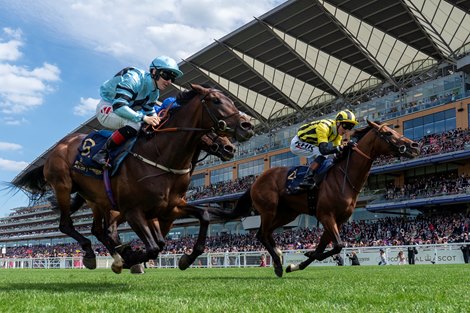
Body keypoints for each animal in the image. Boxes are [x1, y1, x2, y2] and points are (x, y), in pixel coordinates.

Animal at [12, 83, 253, 270]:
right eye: (216, 101)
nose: (246, 126)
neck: (161, 156)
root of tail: (60, 147)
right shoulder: (133, 211)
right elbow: (154, 246)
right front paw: (132, 258)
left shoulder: (171, 207)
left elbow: (201, 216)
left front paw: (185, 259)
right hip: (62, 186)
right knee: (67, 225)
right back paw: (95, 254)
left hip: (96, 199)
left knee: (98, 230)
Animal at [209, 119, 418, 276]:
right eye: (388, 133)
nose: (414, 146)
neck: (343, 177)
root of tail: (255, 181)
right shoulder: (326, 215)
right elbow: (338, 245)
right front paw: (304, 257)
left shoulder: (337, 220)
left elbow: (325, 247)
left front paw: (296, 264)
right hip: (269, 209)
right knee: (262, 233)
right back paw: (277, 263)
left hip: (287, 214)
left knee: (265, 233)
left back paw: (279, 258)